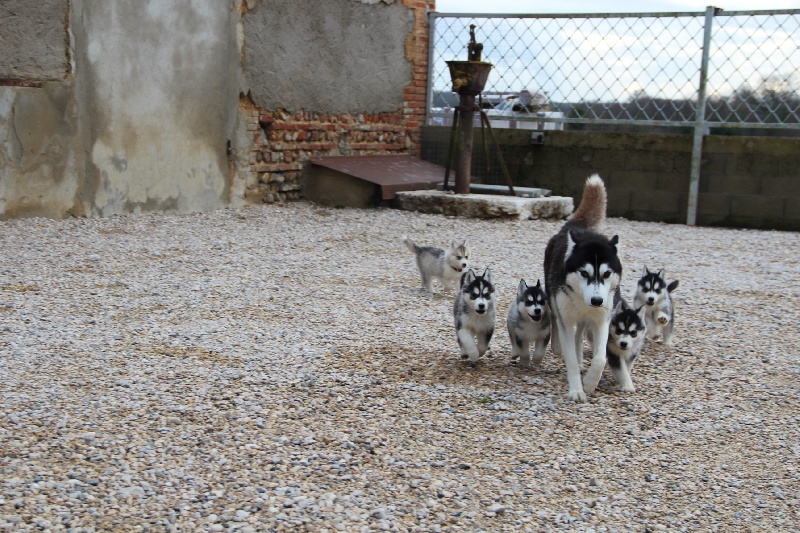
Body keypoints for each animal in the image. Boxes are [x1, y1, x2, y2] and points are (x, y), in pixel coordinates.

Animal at [540, 172, 620, 402]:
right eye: (584, 273)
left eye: (607, 274)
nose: (597, 300)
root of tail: (575, 226)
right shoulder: (565, 317)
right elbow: (570, 360)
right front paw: (576, 390)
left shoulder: (602, 318)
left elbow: (600, 359)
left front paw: (590, 383)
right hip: (553, 298)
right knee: (555, 318)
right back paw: (558, 346)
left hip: (586, 319)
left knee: (579, 335)